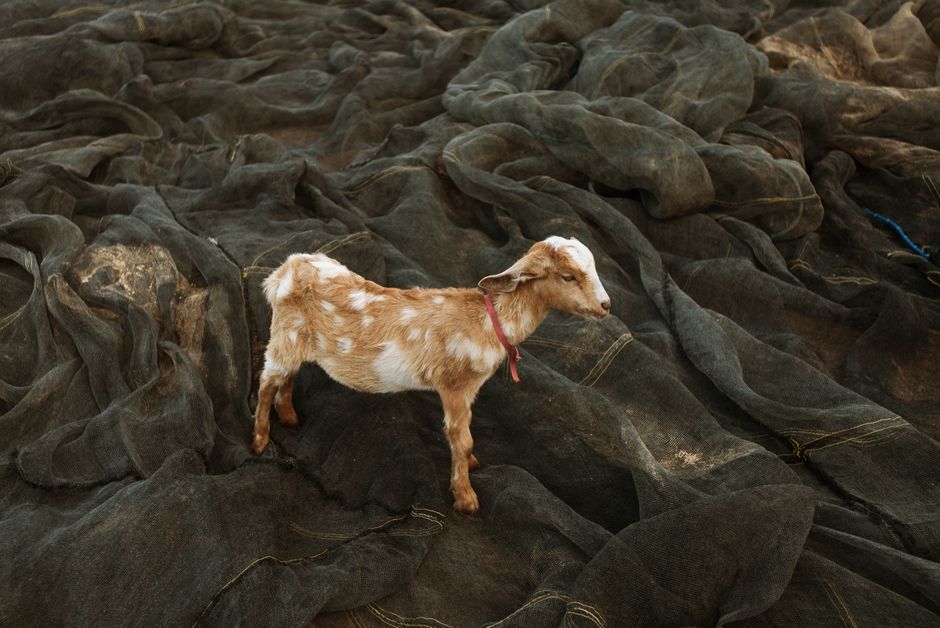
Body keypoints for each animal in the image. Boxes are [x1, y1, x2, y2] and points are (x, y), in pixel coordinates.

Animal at [251, 236, 611, 514]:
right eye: (568, 276)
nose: (606, 305)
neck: (488, 321)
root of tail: (284, 271)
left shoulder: (468, 389)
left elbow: (466, 435)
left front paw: (473, 466)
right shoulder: (454, 385)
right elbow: (460, 438)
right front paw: (466, 499)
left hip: (295, 342)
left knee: (287, 378)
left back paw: (290, 417)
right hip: (283, 338)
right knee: (267, 382)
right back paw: (259, 440)